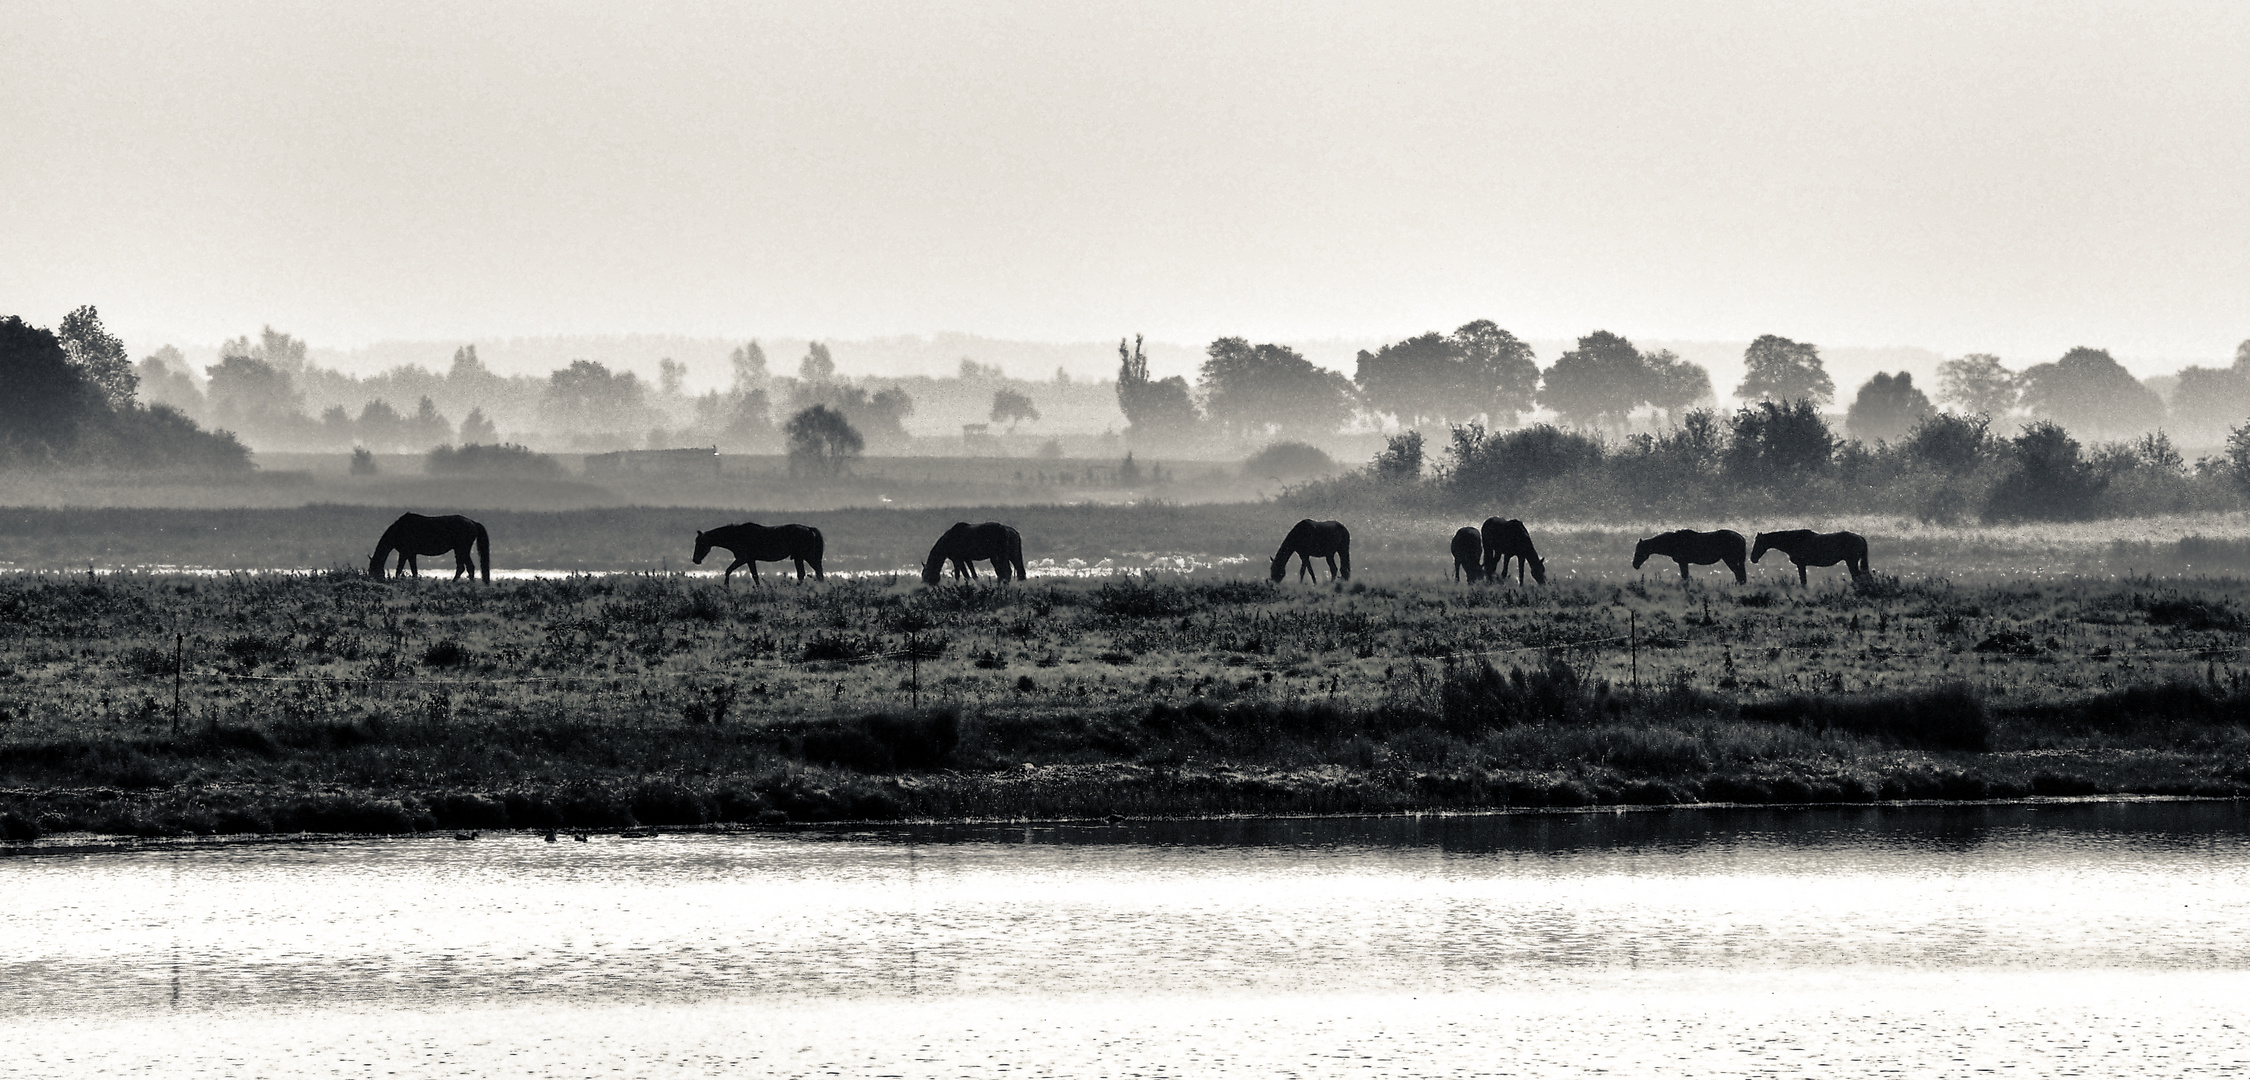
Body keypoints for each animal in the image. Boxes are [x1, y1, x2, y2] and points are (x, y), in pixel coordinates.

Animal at [693, 522, 828, 585]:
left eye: (700, 543)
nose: (695, 560)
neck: (737, 535)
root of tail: (810, 529)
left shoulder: (742, 558)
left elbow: (728, 570)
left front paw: (727, 587)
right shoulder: (750, 560)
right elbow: (755, 576)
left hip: (805, 556)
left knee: (815, 572)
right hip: (800, 557)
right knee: (808, 573)